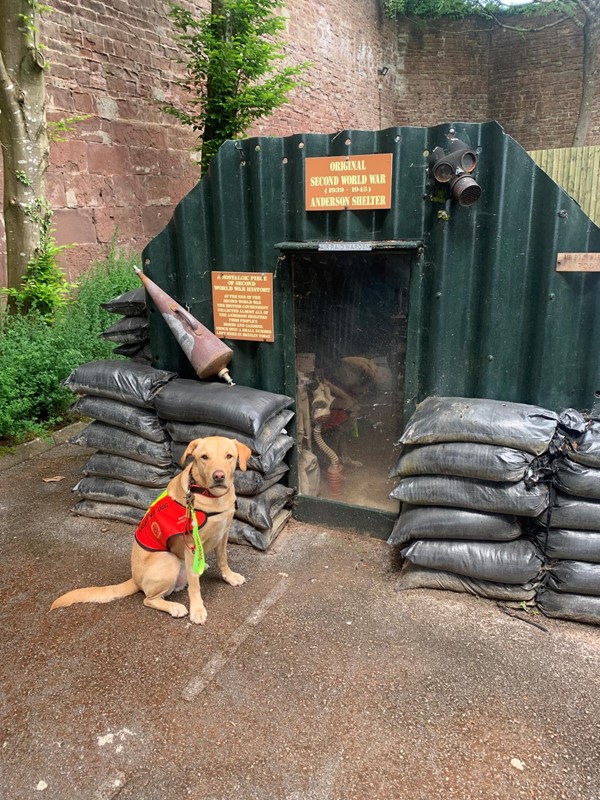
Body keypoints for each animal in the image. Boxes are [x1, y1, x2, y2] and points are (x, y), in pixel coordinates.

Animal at [49, 438, 251, 624]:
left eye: (229, 456)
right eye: (204, 457)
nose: (219, 476)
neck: (211, 497)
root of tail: (134, 579)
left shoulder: (223, 534)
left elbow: (223, 560)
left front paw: (229, 577)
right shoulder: (191, 544)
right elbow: (194, 584)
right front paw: (198, 610)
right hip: (168, 560)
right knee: (149, 599)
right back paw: (174, 607)